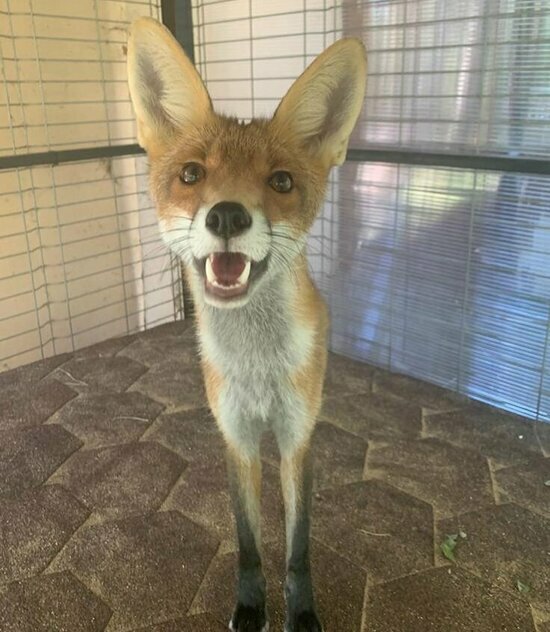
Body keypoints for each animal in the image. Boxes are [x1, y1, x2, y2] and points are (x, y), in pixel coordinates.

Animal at [128, 17, 368, 628]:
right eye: (192, 174)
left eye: (280, 182)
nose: (227, 216)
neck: (258, 366)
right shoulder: (237, 438)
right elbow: (249, 543)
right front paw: (251, 605)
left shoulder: (296, 438)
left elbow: (298, 546)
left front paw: (300, 613)